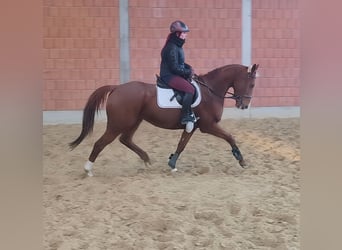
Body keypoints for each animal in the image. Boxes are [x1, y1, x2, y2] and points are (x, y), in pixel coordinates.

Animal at [69, 64, 260, 176]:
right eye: (251, 84)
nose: (244, 105)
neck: (210, 91)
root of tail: (116, 88)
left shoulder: (193, 126)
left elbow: (182, 144)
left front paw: (172, 163)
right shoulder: (208, 125)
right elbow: (230, 137)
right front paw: (241, 160)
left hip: (134, 121)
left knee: (126, 139)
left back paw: (146, 160)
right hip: (118, 124)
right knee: (100, 143)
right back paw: (88, 169)